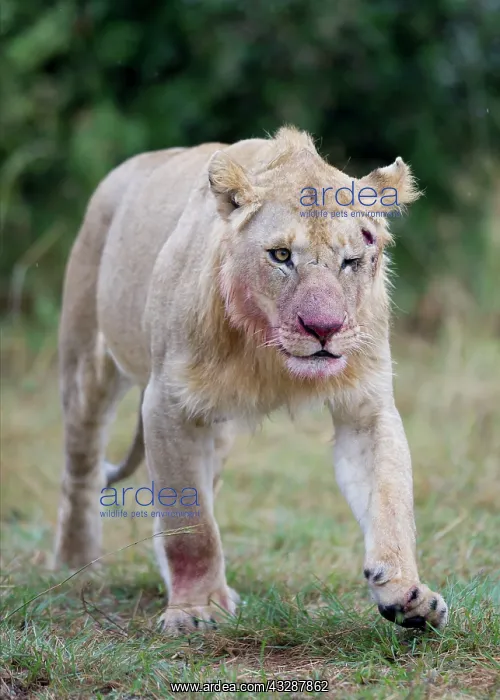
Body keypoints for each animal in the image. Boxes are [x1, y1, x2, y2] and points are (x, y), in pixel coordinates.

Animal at [54, 126, 448, 633]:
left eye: (352, 260)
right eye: (281, 256)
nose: (324, 328)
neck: (268, 351)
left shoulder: (366, 408)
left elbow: (391, 500)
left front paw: (407, 594)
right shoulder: (167, 403)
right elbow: (191, 524)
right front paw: (193, 611)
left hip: (214, 428)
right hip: (87, 362)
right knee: (81, 470)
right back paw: (76, 567)